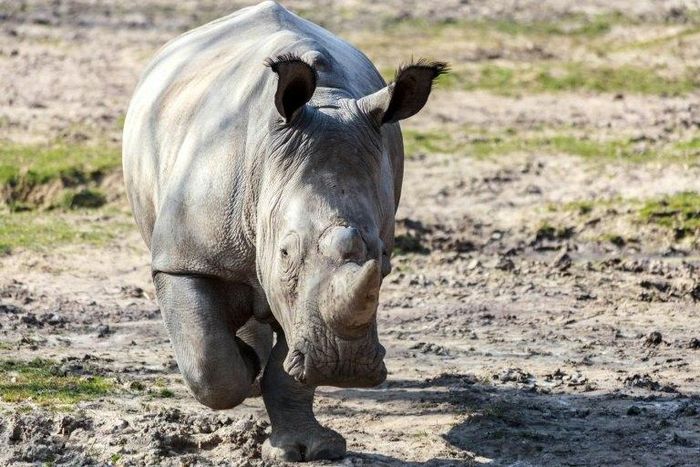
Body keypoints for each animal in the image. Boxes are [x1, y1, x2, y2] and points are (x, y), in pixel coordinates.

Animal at [122, 1, 445, 461]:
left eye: (384, 261)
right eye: (286, 253)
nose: (344, 368)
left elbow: (291, 365)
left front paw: (308, 449)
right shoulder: (183, 259)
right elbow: (208, 361)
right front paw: (245, 366)